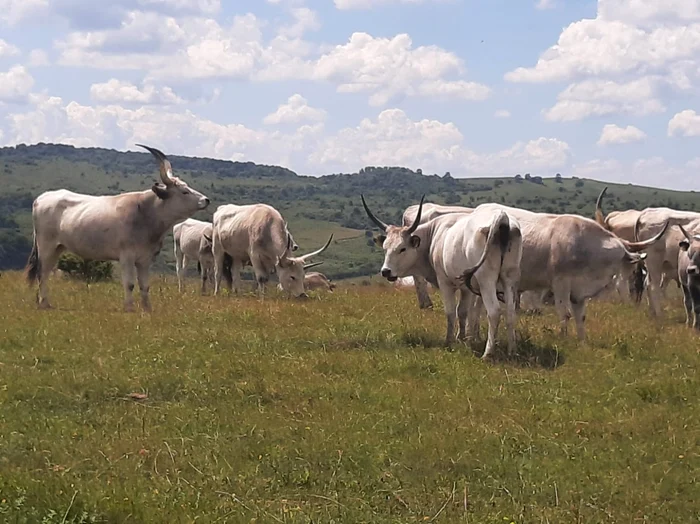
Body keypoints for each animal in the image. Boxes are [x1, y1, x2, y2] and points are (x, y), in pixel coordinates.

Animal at [25, 143, 211, 312]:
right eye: (184, 192)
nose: (206, 200)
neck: (145, 214)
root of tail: (42, 198)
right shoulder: (126, 256)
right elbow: (129, 284)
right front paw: (129, 308)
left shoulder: (145, 259)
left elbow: (144, 285)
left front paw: (147, 309)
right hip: (46, 246)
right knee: (42, 273)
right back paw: (43, 304)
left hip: (57, 247)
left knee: (46, 272)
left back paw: (45, 302)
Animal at [364, 194, 524, 358]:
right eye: (385, 248)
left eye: (402, 248)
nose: (386, 271)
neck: (435, 234)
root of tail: (501, 217)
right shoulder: (466, 288)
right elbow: (462, 311)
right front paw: (462, 339)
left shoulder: (445, 282)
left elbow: (450, 312)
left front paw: (449, 341)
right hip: (509, 278)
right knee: (510, 312)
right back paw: (512, 350)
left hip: (486, 280)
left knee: (494, 311)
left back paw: (488, 353)